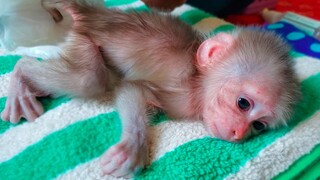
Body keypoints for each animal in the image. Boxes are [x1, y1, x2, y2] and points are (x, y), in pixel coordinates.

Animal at [0, 0, 300, 177]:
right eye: (243, 103)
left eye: (258, 125)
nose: (239, 133)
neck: (197, 80)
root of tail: (92, 12)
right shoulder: (181, 92)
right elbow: (134, 90)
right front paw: (134, 146)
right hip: (81, 37)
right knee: (89, 78)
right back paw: (21, 76)